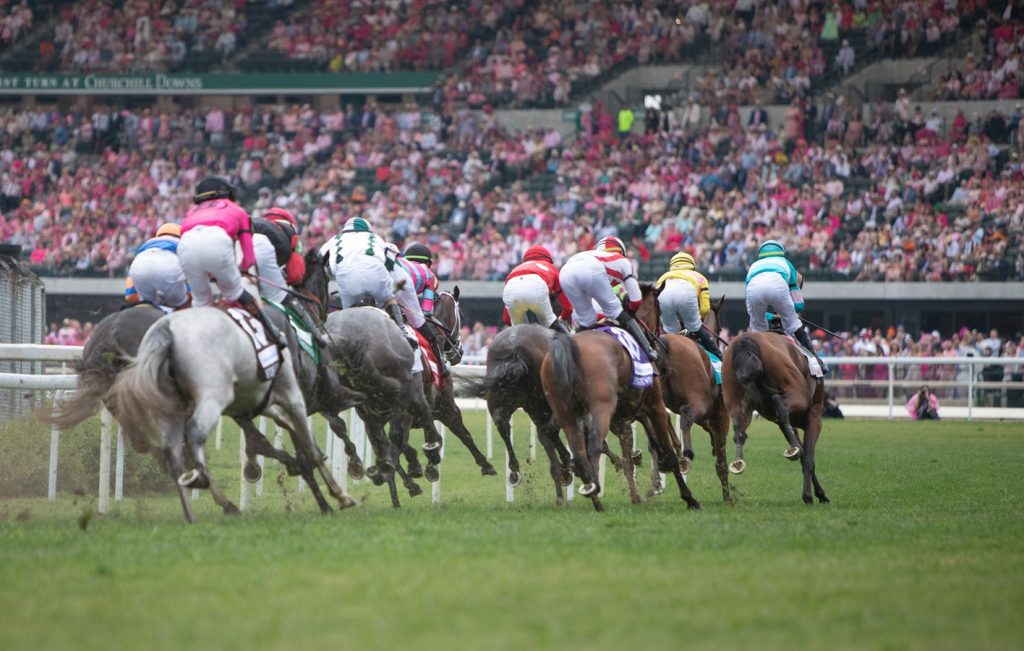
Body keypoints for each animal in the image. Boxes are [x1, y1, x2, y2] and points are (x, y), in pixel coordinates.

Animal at [540, 327, 700, 511]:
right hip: (601, 407)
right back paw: (594, 488)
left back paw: (592, 492)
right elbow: (666, 449)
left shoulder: (622, 420)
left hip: (565, 412)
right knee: (594, 442)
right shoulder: (655, 407)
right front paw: (689, 497)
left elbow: (630, 458)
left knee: (573, 447)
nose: (666, 367)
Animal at [634, 286, 733, 503]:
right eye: (720, 326)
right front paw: (729, 497)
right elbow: (721, 455)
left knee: (658, 429)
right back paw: (685, 455)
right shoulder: (720, 413)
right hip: (699, 400)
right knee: (686, 416)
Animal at [720, 333, 831, 505]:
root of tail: (746, 340)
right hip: (799, 394)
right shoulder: (814, 418)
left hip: (736, 401)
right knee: (780, 404)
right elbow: (808, 459)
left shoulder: (787, 425)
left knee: (739, 431)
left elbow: (803, 454)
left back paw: (738, 462)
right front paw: (813, 495)